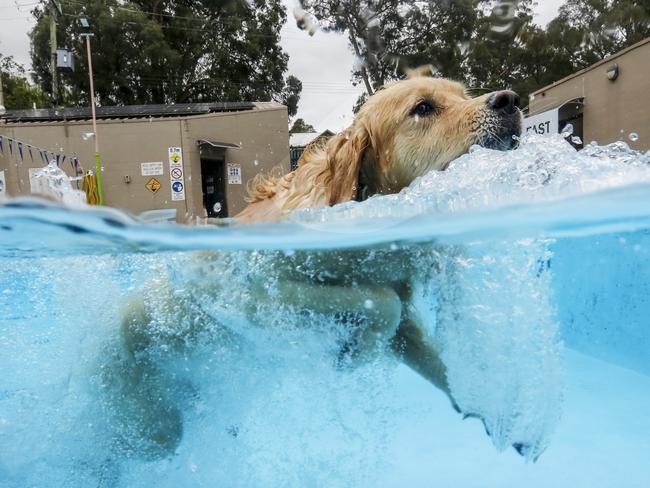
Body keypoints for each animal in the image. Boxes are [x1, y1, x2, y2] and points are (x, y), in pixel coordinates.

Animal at [116, 67, 520, 458]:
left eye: (463, 95)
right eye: (422, 108)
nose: (511, 100)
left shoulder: (406, 319)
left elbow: (425, 349)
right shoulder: (246, 289)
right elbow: (379, 303)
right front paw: (355, 352)